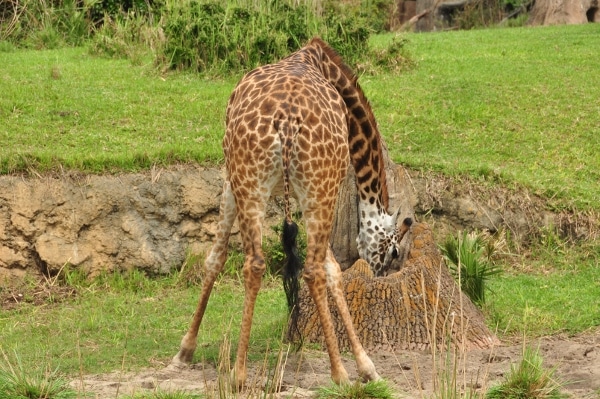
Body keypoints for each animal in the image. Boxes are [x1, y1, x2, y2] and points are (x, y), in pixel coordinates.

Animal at [171, 38, 410, 390]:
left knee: (256, 264)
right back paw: (339, 374)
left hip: (255, 182)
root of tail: (284, 121)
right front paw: (366, 367)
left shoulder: (234, 180)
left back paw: (239, 374)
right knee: (312, 270)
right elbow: (333, 270)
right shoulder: (321, 189)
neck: (323, 63)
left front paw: (185, 350)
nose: (379, 276)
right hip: (317, 189)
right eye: (393, 252)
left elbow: (217, 257)